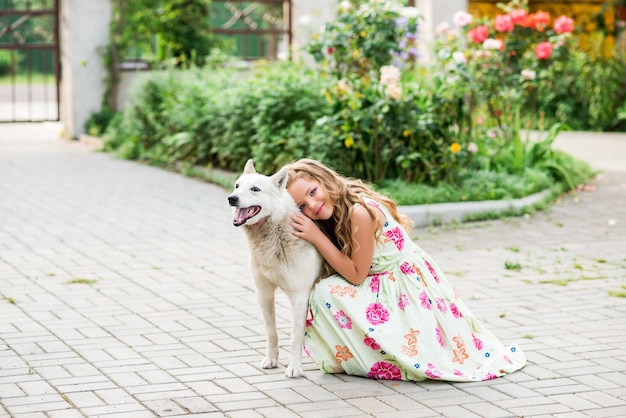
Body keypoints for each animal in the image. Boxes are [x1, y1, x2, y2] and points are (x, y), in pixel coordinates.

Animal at [227, 158, 322, 378]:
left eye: (255, 189)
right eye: (237, 186)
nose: (231, 199)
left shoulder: (300, 296)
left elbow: (295, 337)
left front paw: (294, 367)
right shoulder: (263, 293)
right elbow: (272, 332)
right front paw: (271, 360)